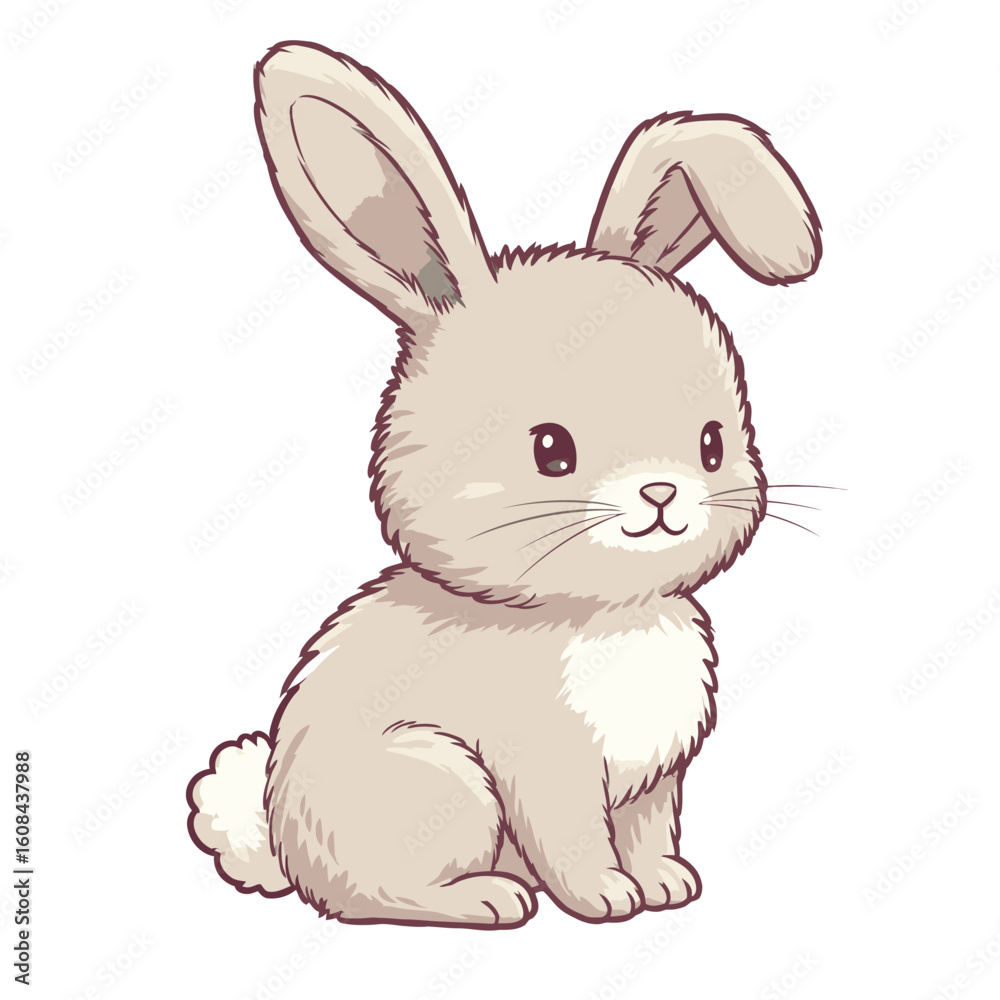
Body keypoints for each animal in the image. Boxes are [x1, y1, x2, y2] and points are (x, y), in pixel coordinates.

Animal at [187, 40, 821, 928]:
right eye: (550, 450)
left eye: (712, 442)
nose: (662, 493)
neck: (599, 614)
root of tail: (284, 845)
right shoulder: (543, 771)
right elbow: (575, 843)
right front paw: (609, 901)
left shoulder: (654, 782)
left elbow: (649, 832)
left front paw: (668, 885)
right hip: (446, 780)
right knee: (377, 896)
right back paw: (490, 899)